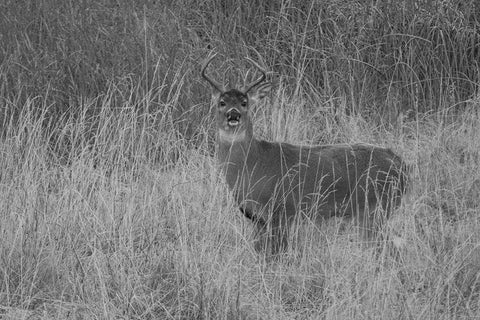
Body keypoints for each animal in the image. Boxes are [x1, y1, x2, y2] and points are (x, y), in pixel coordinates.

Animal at [201, 54, 406, 255]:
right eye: (222, 102)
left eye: (245, 103)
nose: (233, 115)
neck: (253, 164)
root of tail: (401, 165)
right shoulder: (258, 220)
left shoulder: (282, 212)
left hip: (374, 209)